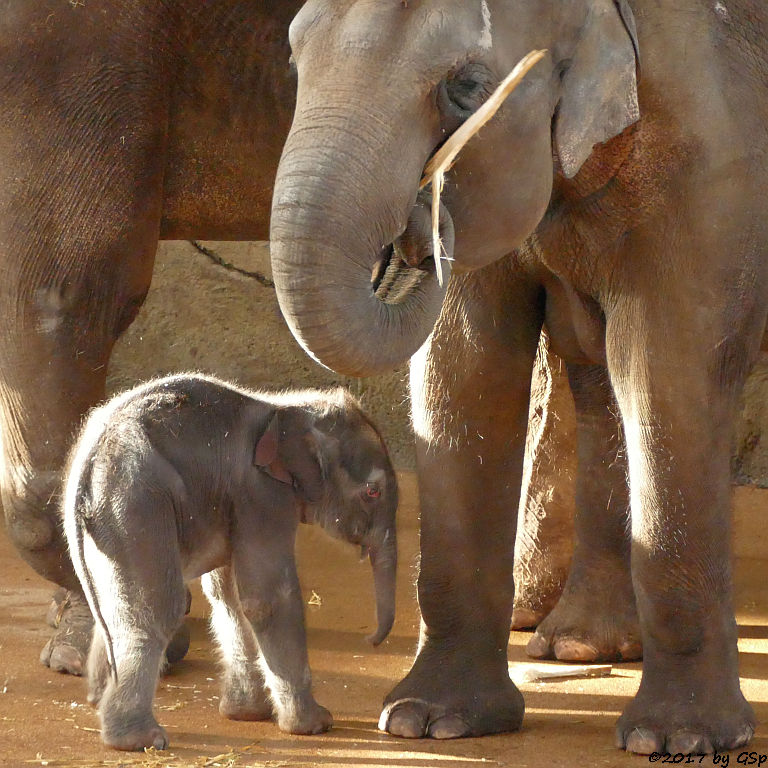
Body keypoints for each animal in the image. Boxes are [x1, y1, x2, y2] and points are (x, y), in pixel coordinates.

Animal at [61, 376, 396, 752]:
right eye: (372, 492)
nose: (371, 640)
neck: (286, 408)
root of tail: (86, 470)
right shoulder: (263, 495)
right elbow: (266, 599)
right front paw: (315, 725)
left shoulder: (233, 502)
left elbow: (228, 597)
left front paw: (247, 714)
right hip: (136, 506)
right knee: (155, 609)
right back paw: (139, 740)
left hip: (108, 528)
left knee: (117, 605)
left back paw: (97, 699)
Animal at [272, 0, 768, 756]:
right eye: (297, 56)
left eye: (469, 86)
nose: (418, 220)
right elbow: (464, 368)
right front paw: (429, 722)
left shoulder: (712, 148)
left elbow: (668, 366)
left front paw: (680, 739)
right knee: (597, 385)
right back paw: (581, 648)